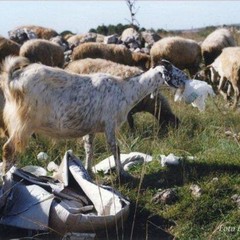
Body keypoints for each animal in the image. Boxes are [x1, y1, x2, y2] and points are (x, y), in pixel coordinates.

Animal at [0, 56, 186, 180]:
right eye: (175, 71)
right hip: (22, 124)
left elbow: (89, 148)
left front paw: (88, 171)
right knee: (8, 150)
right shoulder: (110, 124)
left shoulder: (92, 128)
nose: (185, 79)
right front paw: (123, 173)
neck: (126, 90)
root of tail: (12, 78)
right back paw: (6, 179)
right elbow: (115, 149)